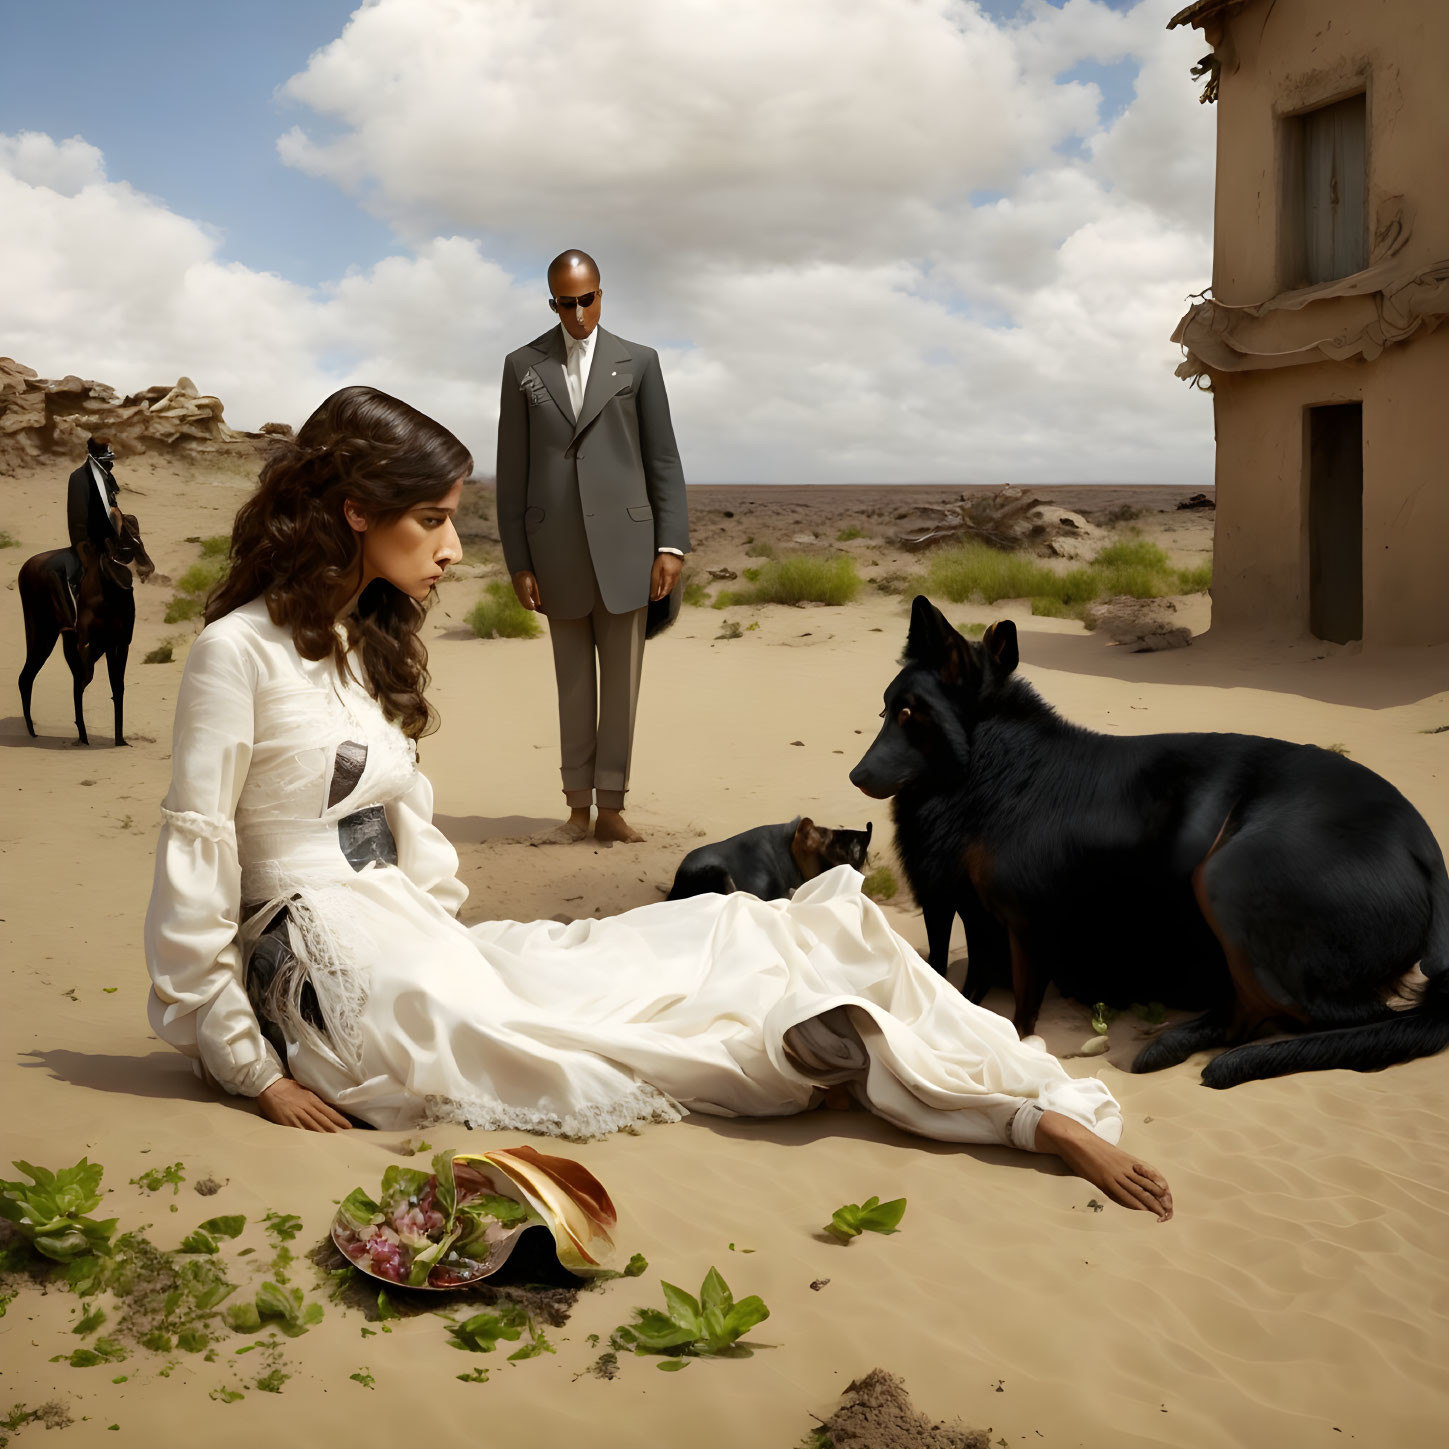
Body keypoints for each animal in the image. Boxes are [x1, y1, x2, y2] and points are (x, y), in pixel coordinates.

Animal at [18, 515, 155, 747]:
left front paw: (119, 741)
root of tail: (25, 567)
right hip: (44, 634)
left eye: (140, 541)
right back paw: (37, 733)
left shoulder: (117, 643)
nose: (148, 568)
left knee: (34, 677)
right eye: (125, 546)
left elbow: (117, 687)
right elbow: (84, 683)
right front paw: (85, 738)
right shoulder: (87, 642)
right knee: (27, 677)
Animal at [846, 591, 1449, 1089]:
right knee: (1250, 1012)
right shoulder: (960, 904)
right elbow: (955, 980)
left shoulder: (1026, 925)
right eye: (884, 709)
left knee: (1340, 1017)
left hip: (1228, 876)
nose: (855, 776)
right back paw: (1176, 1042)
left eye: (908, 714)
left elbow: (1017, 1011)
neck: (994, 770)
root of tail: (1425, 845)